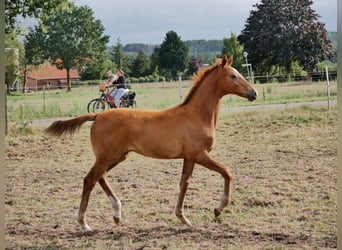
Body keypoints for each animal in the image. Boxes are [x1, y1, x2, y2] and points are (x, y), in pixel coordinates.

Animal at [46, 55, 260, 232]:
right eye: (233, 76)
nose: (254, 93)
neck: (196, 116)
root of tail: (97, 115)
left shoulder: (189, 157)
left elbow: (184, 183)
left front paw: (183, 219)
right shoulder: (200, 154)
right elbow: (227, 172)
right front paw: (218, 209)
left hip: (117, 156)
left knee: (101, 177)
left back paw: (117, 214)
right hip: (107, 156)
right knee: (90, 179)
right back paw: (84, 224)